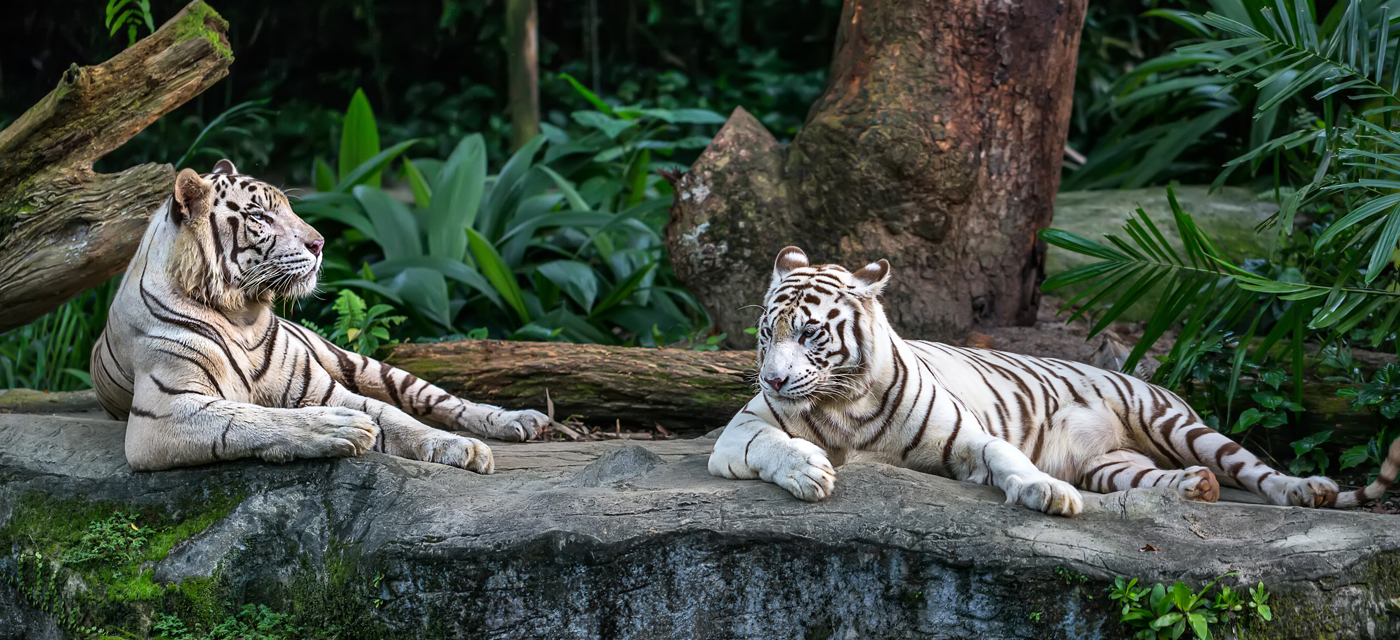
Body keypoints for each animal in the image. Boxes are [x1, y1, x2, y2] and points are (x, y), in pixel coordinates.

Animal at [93, 157, 548, 470]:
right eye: (260, 216)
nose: (320, 243)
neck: (242, 315)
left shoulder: (323, 388)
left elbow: (395, 416)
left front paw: (461, 447)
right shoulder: (162, 413)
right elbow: (254, 417)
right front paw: (342, 428)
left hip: (358, 362)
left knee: (440, 400)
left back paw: (521, 420)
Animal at [711, 245, 1400, 512]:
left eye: (810, 334)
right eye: (767, 334)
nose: (773, 381)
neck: (843, 403)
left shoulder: (968, 436)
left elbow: (1006, 457)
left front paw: (1047, 493)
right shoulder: (737, 436)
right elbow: (774, 444)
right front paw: (808, 471)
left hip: (1176, 424)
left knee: (1255, 469)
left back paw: (1306, 490)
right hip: (1114, 466)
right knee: (1163, 479)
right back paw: (1193, 488)